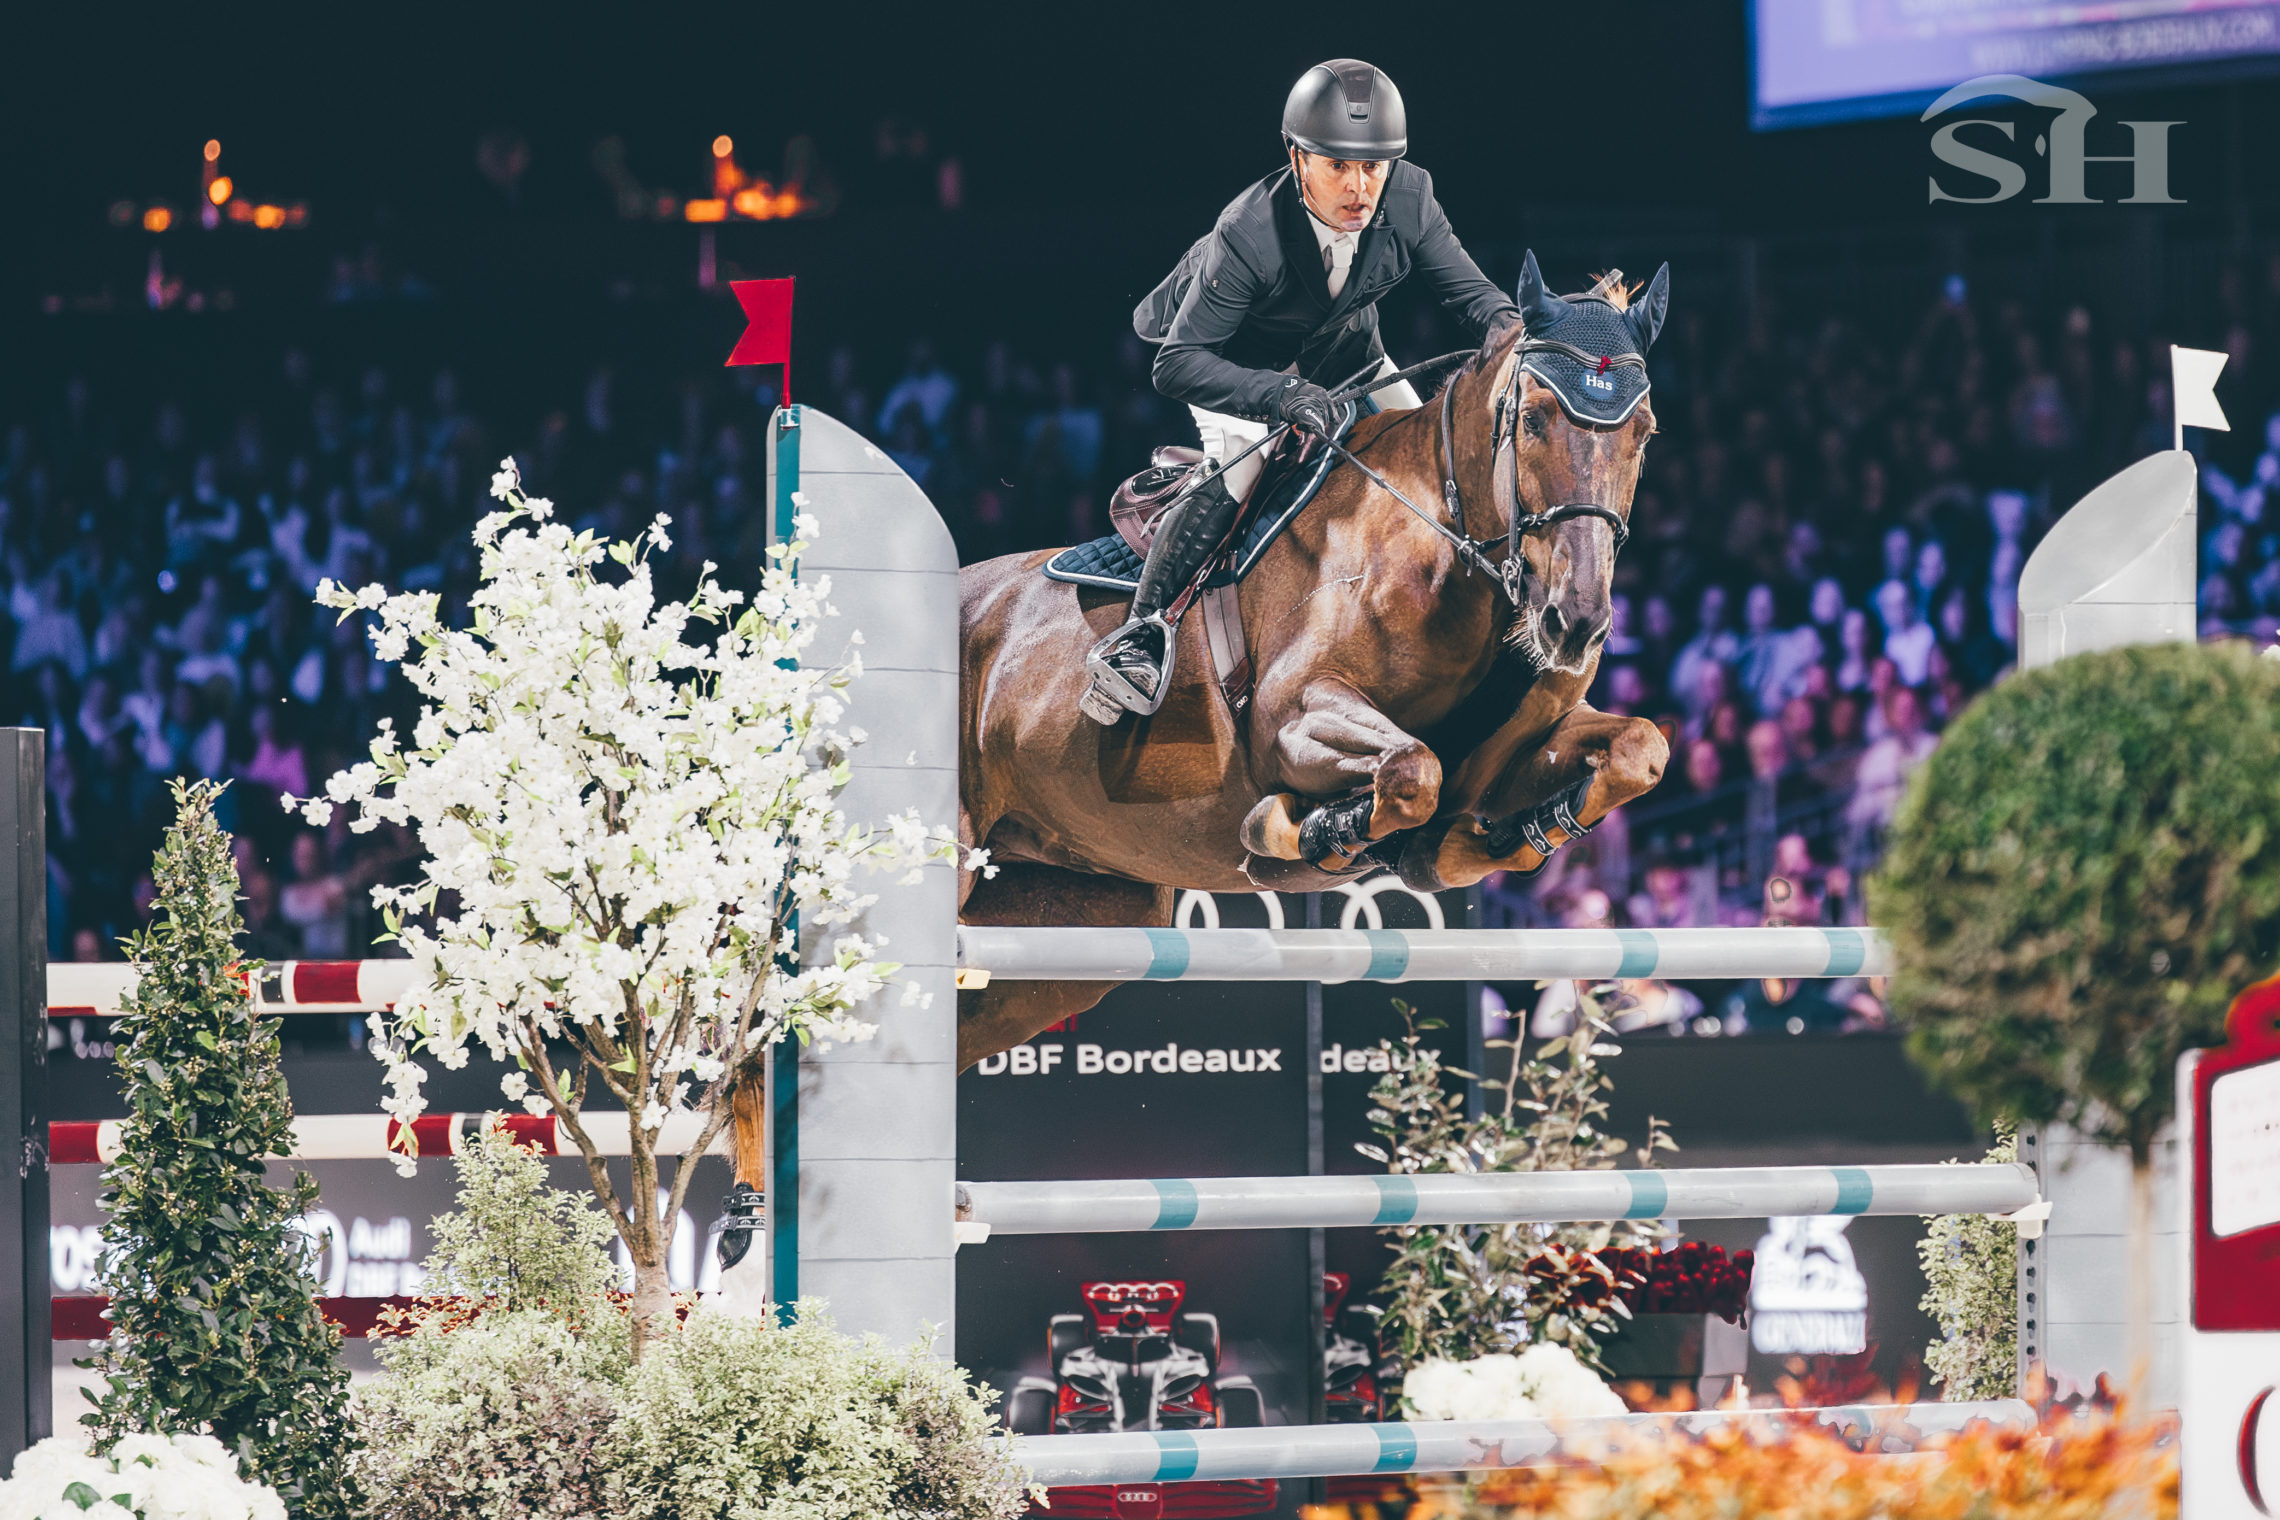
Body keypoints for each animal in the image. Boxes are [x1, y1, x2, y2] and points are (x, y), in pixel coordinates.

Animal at [955, 255, 1672, 1067]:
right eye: (1534, 419)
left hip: (1070, 921)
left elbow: (1639, 749)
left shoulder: (1510, 751)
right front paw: (1304, 833)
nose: (1575, 623)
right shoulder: (1290, 720)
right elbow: (1410, 771)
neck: (1451, 552)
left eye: (1644, 434)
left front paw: (1498, 837)